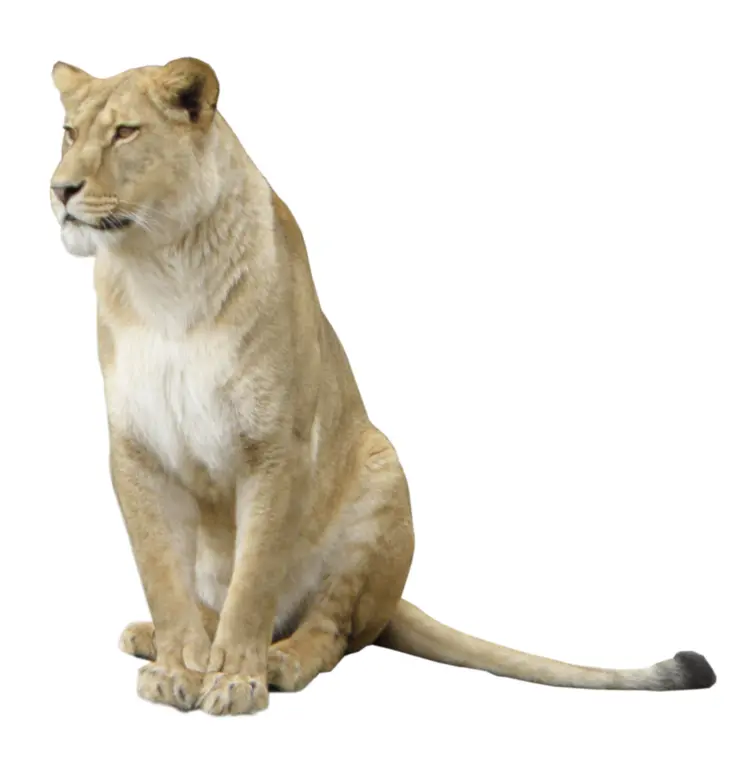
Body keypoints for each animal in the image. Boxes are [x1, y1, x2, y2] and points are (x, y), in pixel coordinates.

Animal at [49, 57, 715, 715]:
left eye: (125, 133)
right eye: (70, 133)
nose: (60, 190)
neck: (161, 270)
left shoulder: (276, 445)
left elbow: (255, 579)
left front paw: (235, 680)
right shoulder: (136, 450)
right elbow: (161, 575)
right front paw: (176, 668)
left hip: (381, 474)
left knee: (331, 630)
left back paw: (278, 661)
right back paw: (156, 637)